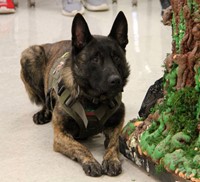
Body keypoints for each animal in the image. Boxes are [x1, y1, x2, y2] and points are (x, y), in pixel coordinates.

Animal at [19, 11, 130, 176]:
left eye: (116, 57)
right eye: (95, 59)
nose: (116, 81)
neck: (92, 100)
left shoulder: (117, 124)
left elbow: (114, 143)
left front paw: (111, 160)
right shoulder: (60, 135)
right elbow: (80, 147)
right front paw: (90, 162)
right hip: (30, 54)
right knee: (45, 100)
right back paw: (43, 113)